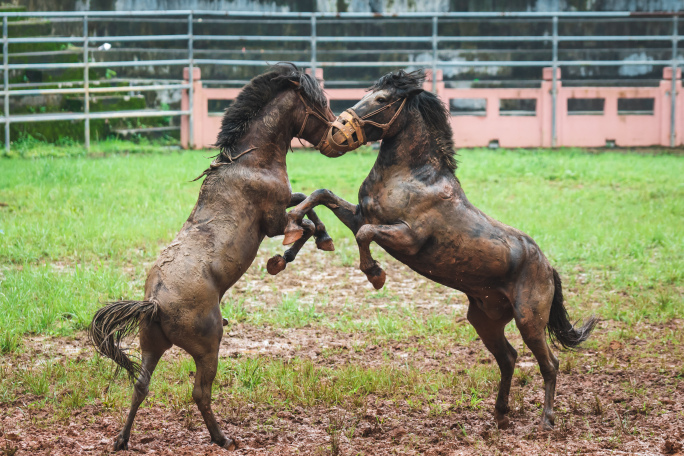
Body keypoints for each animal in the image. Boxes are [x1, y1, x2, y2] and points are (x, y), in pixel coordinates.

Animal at [87, 62, 338, 450]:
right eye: (319, 103)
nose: (336, 132)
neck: (249, 160)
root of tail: (154, 302)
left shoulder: (281, 208)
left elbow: (307, 204)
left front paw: (310, 244)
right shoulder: (273, 220)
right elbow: (311, 208)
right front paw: (286, 256)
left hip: (151, 347)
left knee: (141, 386)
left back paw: (122, 440)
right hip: (208, 348)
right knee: (199, 393)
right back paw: (223, 438)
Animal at [286, 68, 596, 432]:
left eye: (381, 99)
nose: (333, 134)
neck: (413, 177)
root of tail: (548, 268)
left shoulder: (407, 237)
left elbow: (364, 234)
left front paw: (376, 275)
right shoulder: (360, 214)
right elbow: (322, 195)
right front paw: (297, 232)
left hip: (529, 319)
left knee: (550, 362)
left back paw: (546, 420)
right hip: (485, 320)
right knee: (508, 358)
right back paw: (500, 415)